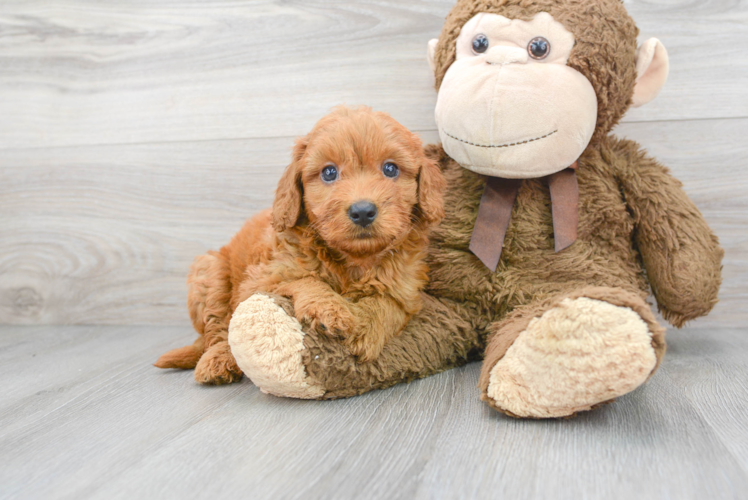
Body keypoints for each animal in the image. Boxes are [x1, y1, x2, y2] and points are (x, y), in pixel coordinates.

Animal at [153, 107, 444, 384]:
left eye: (390, 169)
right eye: (329, 172)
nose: (362, 211)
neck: (354, 260)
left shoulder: (407, 291)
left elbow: (388, 302)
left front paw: (365, 327)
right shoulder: (260, 280)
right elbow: (303, 279)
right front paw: (329, 308)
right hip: (208, 271)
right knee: (218, 328)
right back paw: (218, 360)